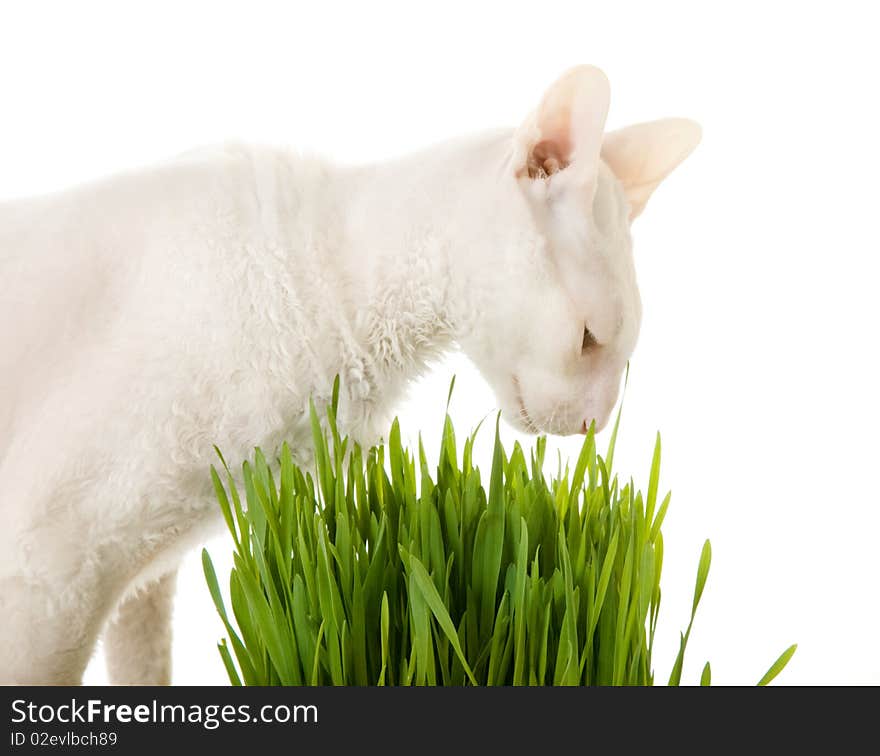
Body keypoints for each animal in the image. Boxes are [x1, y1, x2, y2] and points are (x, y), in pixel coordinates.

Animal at [0, 66, 700, 684]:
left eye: (625, 356)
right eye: (588, 339)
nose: (595, 423)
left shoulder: (144, 584)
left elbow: (145, 669)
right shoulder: (51, 574)